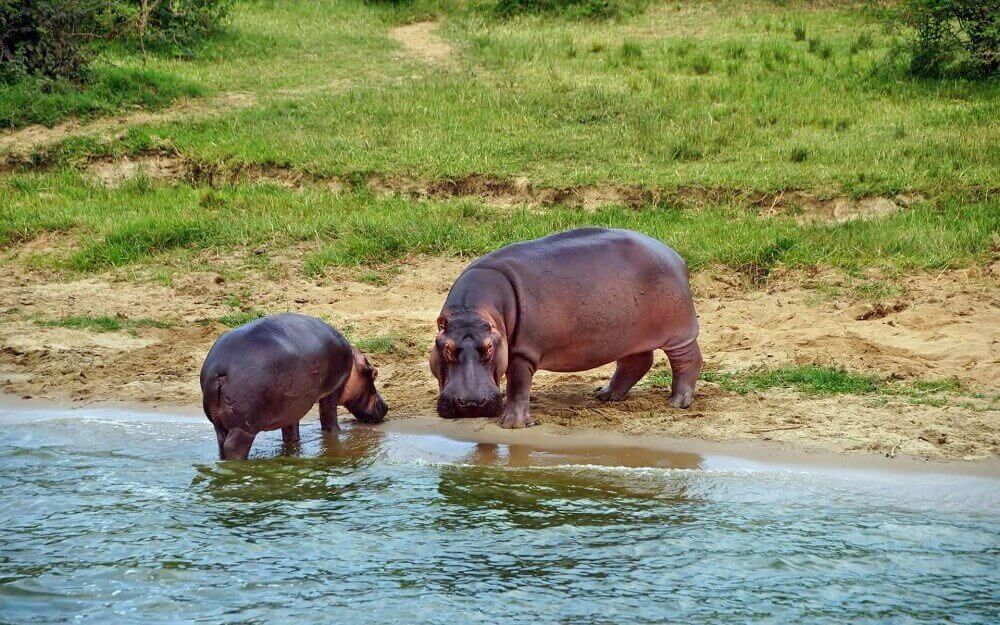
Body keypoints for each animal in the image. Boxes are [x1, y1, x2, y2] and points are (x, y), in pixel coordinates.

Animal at [201, 312, 388, 458]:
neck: (353, 366)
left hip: (220, 424)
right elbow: (328, 419)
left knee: (221, 443)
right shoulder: (333, 389)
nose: (386, 407)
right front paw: (338, 433)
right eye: (375, 373)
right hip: (244, 428)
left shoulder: (291, 408)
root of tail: (221, 368)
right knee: (233, 447)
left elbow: (291, 433)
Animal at [430, 228, 704, 428]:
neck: (473, 310)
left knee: (687, 360)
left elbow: (518, 385)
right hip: (629, 334)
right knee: (637, 361)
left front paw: (512, 424)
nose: (471, 404)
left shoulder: (522, 351)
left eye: (489, 348)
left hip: (680, 332)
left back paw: (678, 402)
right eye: (446, 348)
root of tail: (675, 256)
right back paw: (605, 395)